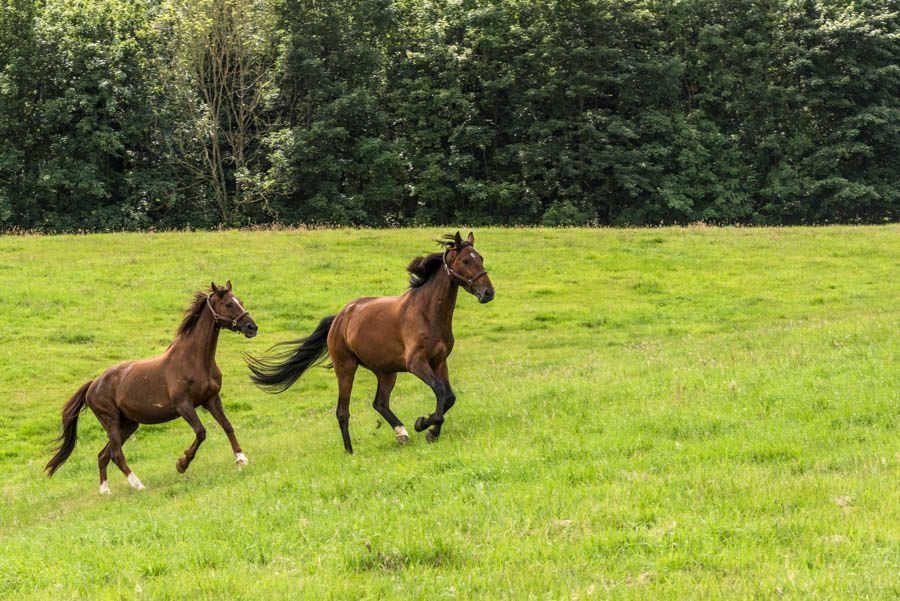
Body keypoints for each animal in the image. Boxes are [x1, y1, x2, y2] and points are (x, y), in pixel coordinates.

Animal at [46, 282, 258, 492]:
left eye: (240, 301)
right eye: (229, 304)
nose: (252, 327)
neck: (194, 360)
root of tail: (92, 385)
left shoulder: (211, 399)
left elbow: (227, 426)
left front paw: (241, 459)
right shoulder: (183, 405)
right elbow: (201, 432)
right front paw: (181, 464)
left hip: (128, 424)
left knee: (103, 455)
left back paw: (105, 490)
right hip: (110, 421)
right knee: (116, 454)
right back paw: (138, 484)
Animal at [246, 232, 496, 452]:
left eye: (481, 258)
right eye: (465, 260)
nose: (488, 292)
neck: (428, 312)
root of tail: (339, 317)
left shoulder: (439, 362)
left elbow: (449, 396)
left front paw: (429, 430)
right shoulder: (417, 364)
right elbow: (439, 390)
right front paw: (424, 425)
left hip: (386, 371)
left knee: (380, 403)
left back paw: (401, 433)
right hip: (346, 368)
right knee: (342, 411)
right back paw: (350, 451)